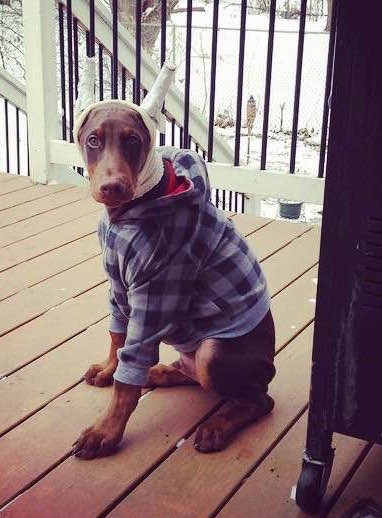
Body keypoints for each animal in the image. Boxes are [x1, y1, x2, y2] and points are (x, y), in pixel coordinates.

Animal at [71, 101, 274, 464]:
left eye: (133, 140)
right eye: (93, 140)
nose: (112, 187)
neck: (127, 216)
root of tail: (269, 368)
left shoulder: (155, 295)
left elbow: (126, 380)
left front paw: (104, 432)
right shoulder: (118, 287)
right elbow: (117, 336)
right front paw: (109, 369)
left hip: (214, 352)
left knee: (259, 400)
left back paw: (217, 426)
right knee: (196, 377)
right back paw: (159, 373)